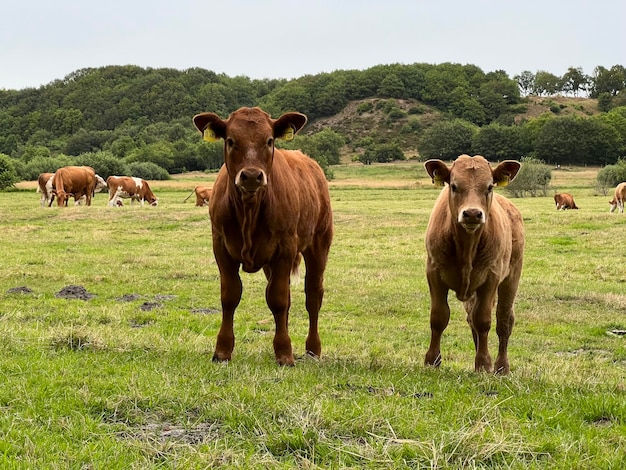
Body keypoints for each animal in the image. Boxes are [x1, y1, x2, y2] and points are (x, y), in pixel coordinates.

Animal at [193, 107, 332, 368]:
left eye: (269, 141)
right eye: (230, 140)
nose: (250, 176)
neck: (249, 208)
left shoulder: (285, 248)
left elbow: (277, 299)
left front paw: (285, 354)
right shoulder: (221, 247)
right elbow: (230, 296)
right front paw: (222, 351)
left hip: (319, 244)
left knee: (312, 295)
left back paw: (313, 349)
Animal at [424, 156, 520, 376]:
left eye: (489, 187)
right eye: (454, 186)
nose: (473, 214)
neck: (466, 247)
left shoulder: (491, 277)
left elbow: (483, 321)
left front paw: (483, 363)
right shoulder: (433, 273)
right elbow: (439, 317)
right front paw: (432, 360)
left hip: (511, 278)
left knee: (503, 320)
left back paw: (501, 366)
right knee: (471, 319)